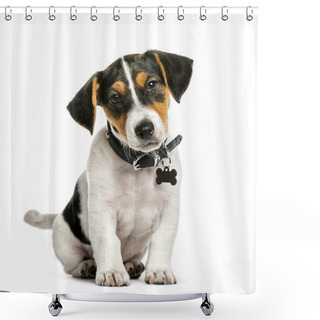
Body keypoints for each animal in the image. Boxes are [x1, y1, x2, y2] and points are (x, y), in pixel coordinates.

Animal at [24, 50, 192, 288]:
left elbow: (162, 239)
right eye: (114, 98)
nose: (145, 129)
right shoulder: (102, 211)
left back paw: (131, 265)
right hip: (65, 241)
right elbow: (108, 241)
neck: (137, 164)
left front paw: (159, 270)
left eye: (151, 84)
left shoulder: (169, 209)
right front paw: (112, 271)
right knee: (71, 266)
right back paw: (87, 266)